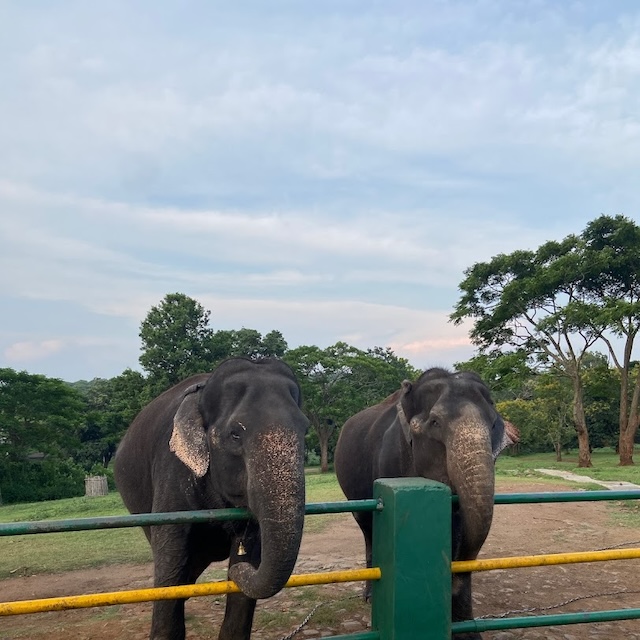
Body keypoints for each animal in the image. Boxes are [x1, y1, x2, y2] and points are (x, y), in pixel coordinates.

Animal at [115, 360, 310, 640]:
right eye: (235, 435)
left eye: (306, 430)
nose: (237, 574)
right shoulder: (171, 471)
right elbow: (170, 564)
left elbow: (249, 549)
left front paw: (240, 562)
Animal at [336, 368, 510, 636]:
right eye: (435, 422)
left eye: (493, 424)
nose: (454, 584)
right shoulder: (390, 459)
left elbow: (458, 526)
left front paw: (467, 632)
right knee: (367, 527)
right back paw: (369, 596)